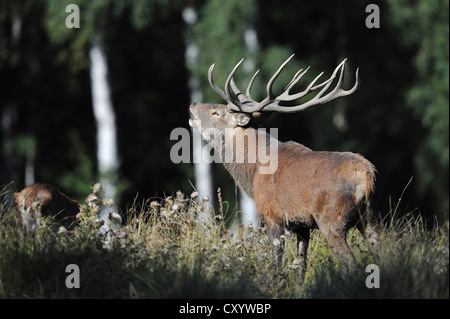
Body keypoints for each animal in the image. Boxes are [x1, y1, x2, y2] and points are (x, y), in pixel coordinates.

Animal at [190, 54, 380, 278]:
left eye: (216, 112)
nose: (193, 104)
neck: (253, 172)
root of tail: (365, 175)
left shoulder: (273, 217)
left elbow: (276, 266)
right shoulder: (301, 225)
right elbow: (301, 267)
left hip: (332, 220)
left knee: (352, 264)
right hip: (371, 218)